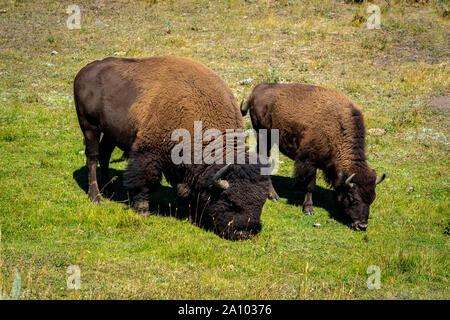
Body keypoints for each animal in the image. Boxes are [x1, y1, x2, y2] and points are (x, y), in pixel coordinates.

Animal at [74, 55, 274, 240]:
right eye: (231, 202)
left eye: (261, 204)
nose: (244, 233)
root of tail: (84, 71)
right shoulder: (148, 152)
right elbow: (145, 181)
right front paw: (143, 212)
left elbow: (187, 189)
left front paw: (192, 217)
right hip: (89, 126)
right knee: (92, 157)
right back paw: (96, 197)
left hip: (110, 132)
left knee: (104, 155)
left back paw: (108, 189)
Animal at [243, 83, 386, 230]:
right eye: (353, 199)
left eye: (372, 198)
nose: (362, 225)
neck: (337, 128)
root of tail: (258, 89)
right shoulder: (309, 161)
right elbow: (310, 185)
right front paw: (308, 209)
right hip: (264, 137)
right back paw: (273, 196)